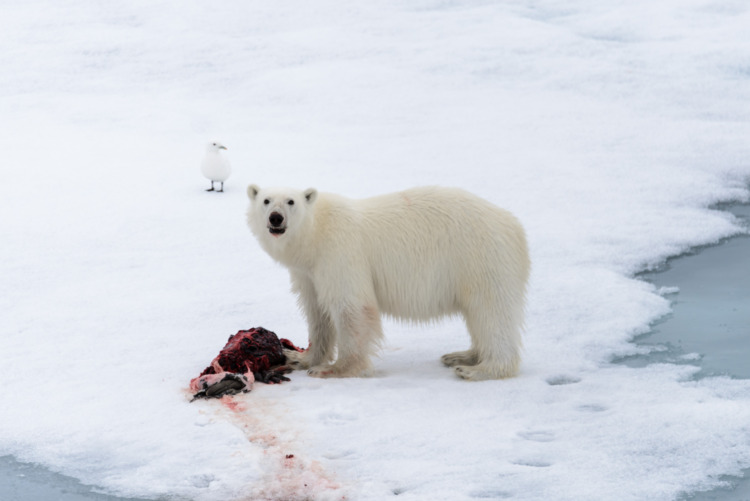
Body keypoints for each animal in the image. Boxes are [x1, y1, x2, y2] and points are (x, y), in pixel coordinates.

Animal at [246, 185, 530, 381]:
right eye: (266, 200)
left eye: (291, 201)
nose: (275, 218)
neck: (316, 234)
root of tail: (514, 225)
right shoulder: (308, 273)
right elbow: (318, 313)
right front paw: (300, 357)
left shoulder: (340, 253)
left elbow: (353, 308)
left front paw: (334, 369)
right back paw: (462, 355)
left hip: (480, 258)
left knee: (491, 313)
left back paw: (479, 369)